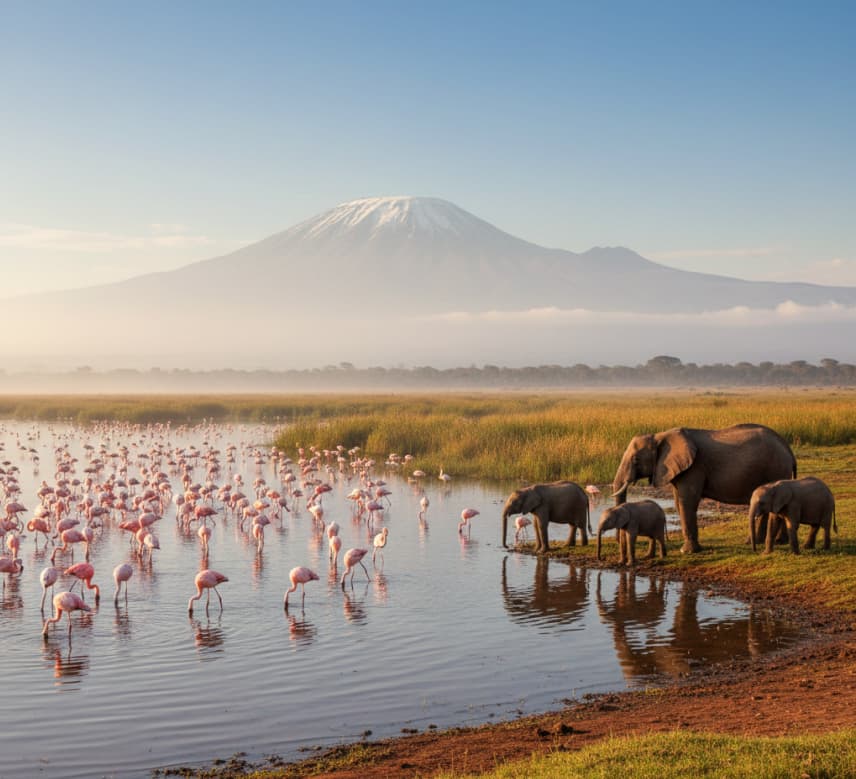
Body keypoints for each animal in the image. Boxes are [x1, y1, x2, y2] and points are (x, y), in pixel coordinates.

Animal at [612, 423, 796, 554]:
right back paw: (773, 541)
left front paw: (687, 552)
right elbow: (679, 502)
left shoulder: (694, 467)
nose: (618, 541)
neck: (660, 435)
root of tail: (788, 449)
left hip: (775, 468)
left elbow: (687, 502)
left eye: (636, 460)